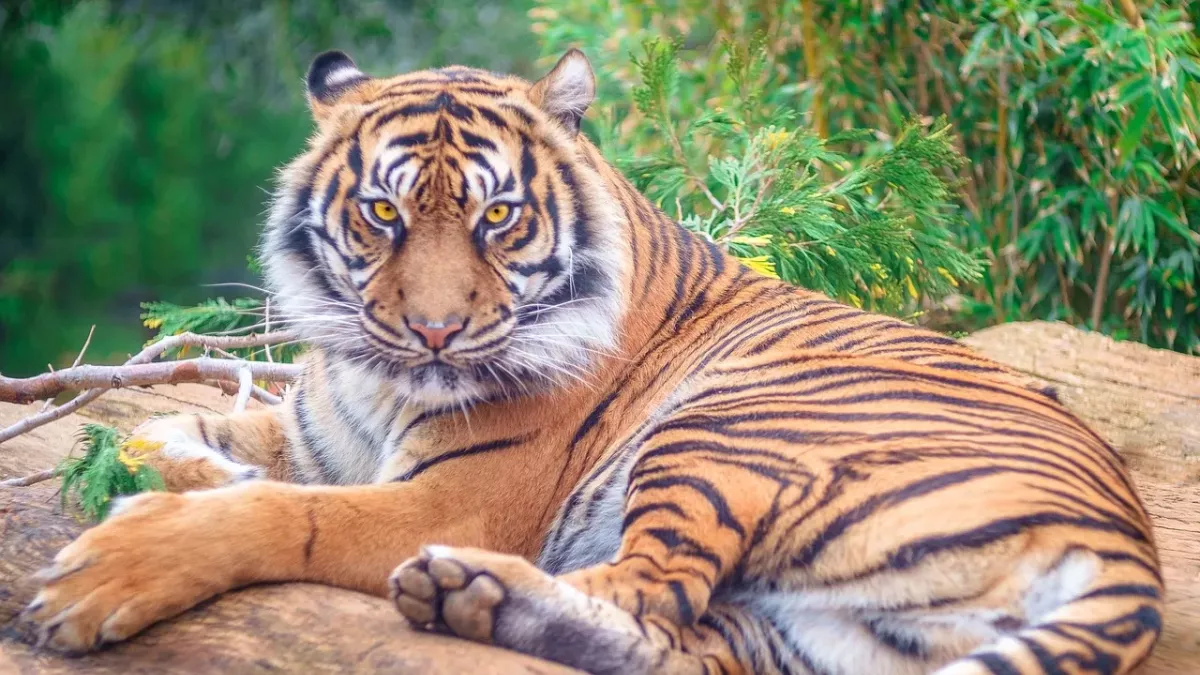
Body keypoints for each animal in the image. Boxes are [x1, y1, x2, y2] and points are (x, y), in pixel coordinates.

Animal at [23, 49, 1162, 675]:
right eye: (384, 213)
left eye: (496, 217)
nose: (433, 333)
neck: (377, 378)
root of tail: (1133, 550)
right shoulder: (314, 430)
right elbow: (175, 429)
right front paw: (186, 465)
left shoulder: (450, 498)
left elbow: (281, 514)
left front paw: (104, 573)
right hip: (823, 635)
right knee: (681, 643)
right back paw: (476, 604)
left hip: (726, 432)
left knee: (653, 584)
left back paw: (469, 585)